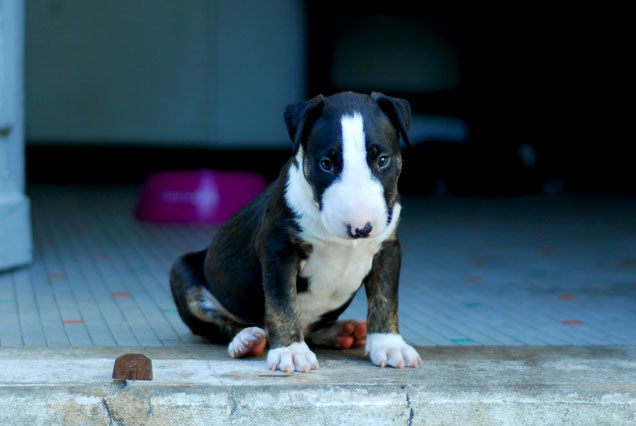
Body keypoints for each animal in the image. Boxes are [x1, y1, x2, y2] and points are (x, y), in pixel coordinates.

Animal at [170, 91, 421, 372]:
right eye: (326, 164)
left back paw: (343, 332)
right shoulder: (278, 250)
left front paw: (389, 345)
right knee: (223, 325)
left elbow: (385, 298)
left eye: (382, 160)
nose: (361, 228)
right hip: (183, 274)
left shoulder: (388, 249)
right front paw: (291, 351)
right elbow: (283, 302)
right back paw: (246, 341)